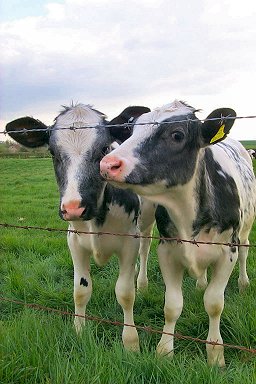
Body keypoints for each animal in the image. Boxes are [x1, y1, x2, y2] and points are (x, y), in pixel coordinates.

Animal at [6, 103, 154, 352]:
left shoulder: (129, 241)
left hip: (148, 219)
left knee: (145, 248)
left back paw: (142, 282)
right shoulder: (74, 240)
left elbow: (125, 293)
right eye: (52, 152)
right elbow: (80, 290)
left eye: (104, 149)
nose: (73, 207)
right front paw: (79, 331)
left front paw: (131, 342)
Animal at [100, 100, 256, 366]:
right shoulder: (168, 250)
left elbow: (214, 303)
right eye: (132, 130)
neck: (187, 214)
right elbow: (172, 305)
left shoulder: (227, 253)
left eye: (177, 135)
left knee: (245, 251)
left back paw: (243, 283)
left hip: (245, 228)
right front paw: (164, 351)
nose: (108, 164)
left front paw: (215, 354)